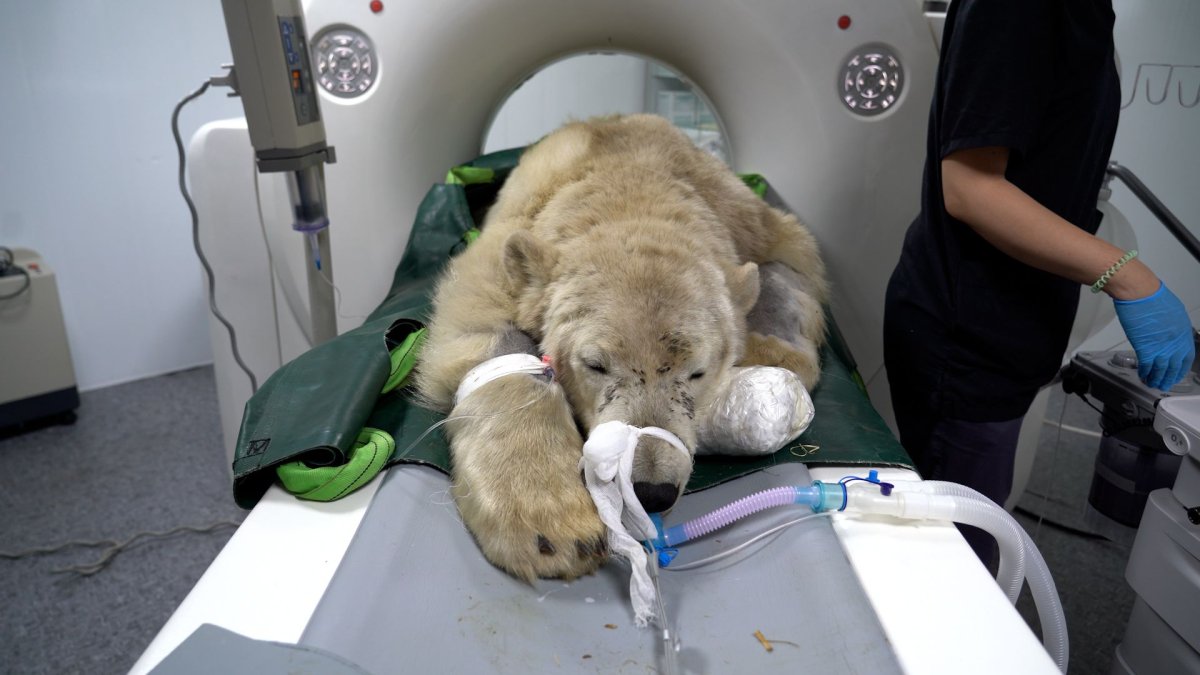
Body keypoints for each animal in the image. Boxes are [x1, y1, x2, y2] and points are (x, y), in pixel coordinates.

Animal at [414, 114, 829, 581]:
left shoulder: (751, 222)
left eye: (698, 371)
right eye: (595, 365)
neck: (633, 189)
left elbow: (791, 261)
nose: (651, 490)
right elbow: (482, 320)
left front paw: (773, 354)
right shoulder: (508, 244)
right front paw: (553, 519)